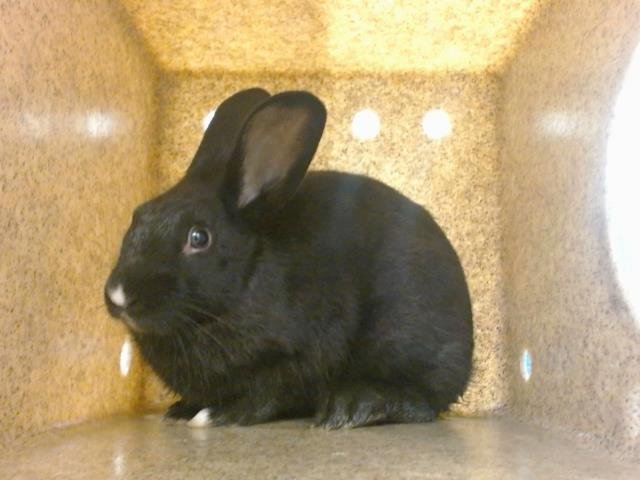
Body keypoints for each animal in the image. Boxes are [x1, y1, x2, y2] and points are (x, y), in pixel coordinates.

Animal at [104, 88, 473, 429]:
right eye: (138, 216)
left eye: (199, 237)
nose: (119, 294)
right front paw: (183, 410)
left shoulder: (299, 355)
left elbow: (269, 394)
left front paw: (219, 414)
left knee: (422, 402)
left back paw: (353, 407)